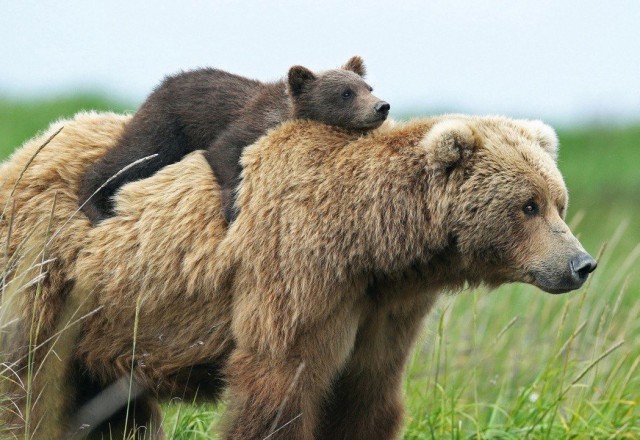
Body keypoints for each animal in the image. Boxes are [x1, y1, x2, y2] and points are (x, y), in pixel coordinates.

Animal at [0, 111, 596, 438]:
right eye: (528, 205)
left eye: (558, 201)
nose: (581, 264)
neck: (372, 245)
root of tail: (23, 153)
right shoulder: (297, 274)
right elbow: (279, 385)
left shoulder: (383, 309)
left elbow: (365, 396)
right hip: (47, 279)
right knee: (26, 385)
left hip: (107, 325)